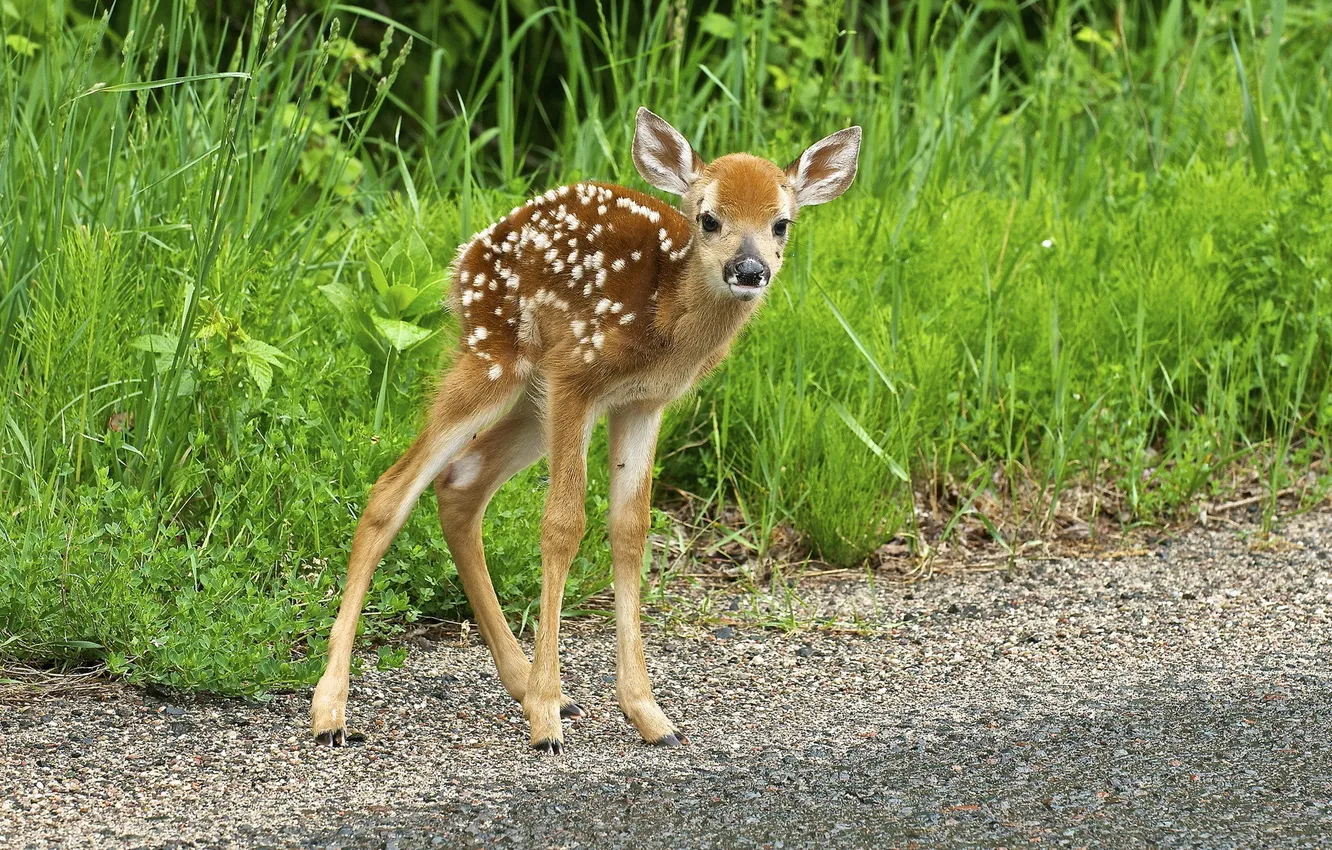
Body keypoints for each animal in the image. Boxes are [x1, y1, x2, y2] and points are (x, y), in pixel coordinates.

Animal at [309, 107, 861, 753]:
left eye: (782, 222)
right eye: (709, 217)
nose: (749, 270)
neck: (663, 318)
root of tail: (464, 258)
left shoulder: (642, 404)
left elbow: (629, 530)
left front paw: (648, 714)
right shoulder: (577, 376)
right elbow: (563, 525)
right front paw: (546, 720)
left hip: (532, 401)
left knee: (461, 481)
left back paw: (523, 683)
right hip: (496, 358)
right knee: (390, 490)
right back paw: (331, 711)